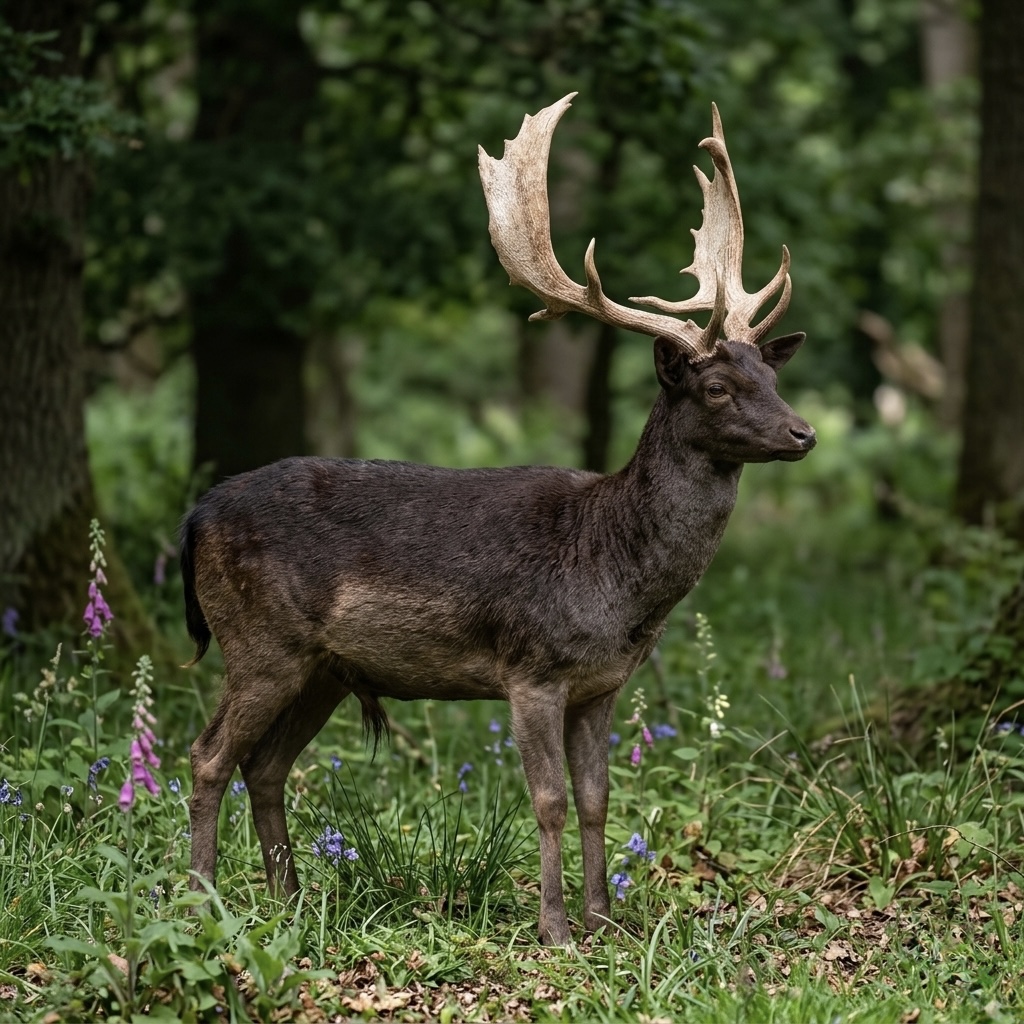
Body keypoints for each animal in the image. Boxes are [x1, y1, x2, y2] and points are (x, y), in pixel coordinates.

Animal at [180, 93, 815, 946]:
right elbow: (547, 800)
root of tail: (196, 514)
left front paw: (604, 920)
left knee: (265, 765)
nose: (803, 433)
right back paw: (200, 901)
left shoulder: (602, 685)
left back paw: (289, 903)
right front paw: (555, 929)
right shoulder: (532, 666)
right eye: (715, 387)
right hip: (258, 641)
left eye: (770, 376)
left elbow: (596, 800)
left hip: (322, 668)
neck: (615, 577)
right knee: (208, 756)